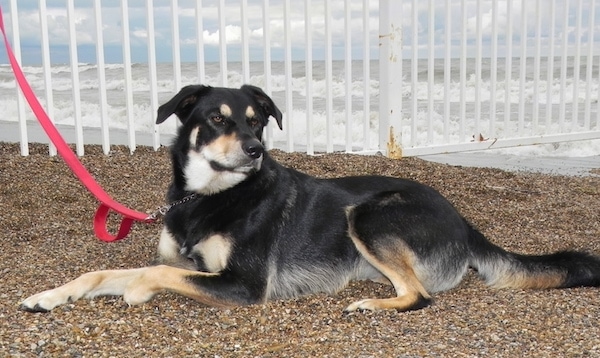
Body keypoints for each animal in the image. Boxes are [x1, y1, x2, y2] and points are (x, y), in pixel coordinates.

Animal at [21, 84, 600, 314]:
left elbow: (153, 274)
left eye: (256, 121)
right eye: (217, 120)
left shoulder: (244, 285)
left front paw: (138, 291)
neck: (211, 198)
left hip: (368, 214)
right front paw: (50, 296)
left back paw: (371, 305)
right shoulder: (186, 263)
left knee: (420, 295)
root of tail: (465, 220)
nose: (255, 150)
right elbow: (106, 272)